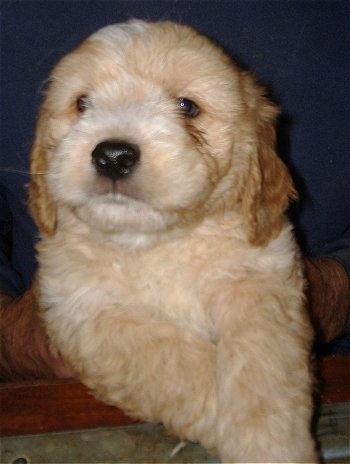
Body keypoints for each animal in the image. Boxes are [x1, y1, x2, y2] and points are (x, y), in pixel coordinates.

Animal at [30, 20, 318, 462]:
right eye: (82, 104)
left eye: (187, 106)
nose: (113, 156)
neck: (154, 242)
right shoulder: (85, 315)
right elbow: (174, 364)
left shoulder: (258, 277)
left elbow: (261, 365)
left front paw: (270, 444)